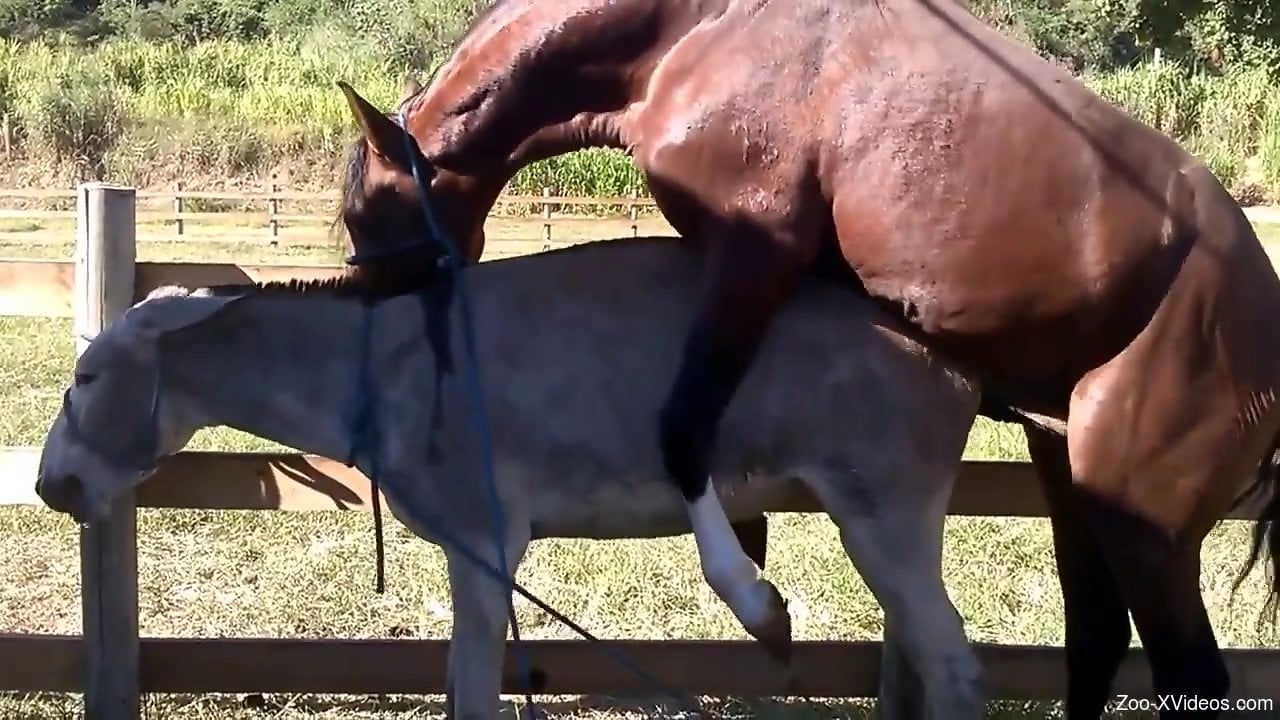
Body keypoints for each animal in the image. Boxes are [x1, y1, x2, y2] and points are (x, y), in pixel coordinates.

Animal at [36, 237, 987, 719]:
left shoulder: (484, 540)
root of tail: (950, 359)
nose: (48, 489)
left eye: (84, 378)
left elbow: (471, 688)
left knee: (954, 666)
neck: (382, 369)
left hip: (884, 512)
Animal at [329, 0, 1280, 714]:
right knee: (1095, 641)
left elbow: (684, 424)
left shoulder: (755, 253)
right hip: (1070, 475)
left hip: (1143, 523)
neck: (691, 33)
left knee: (1189, 674)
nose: (375, 326)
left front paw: (758, 601)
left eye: (363, 211)